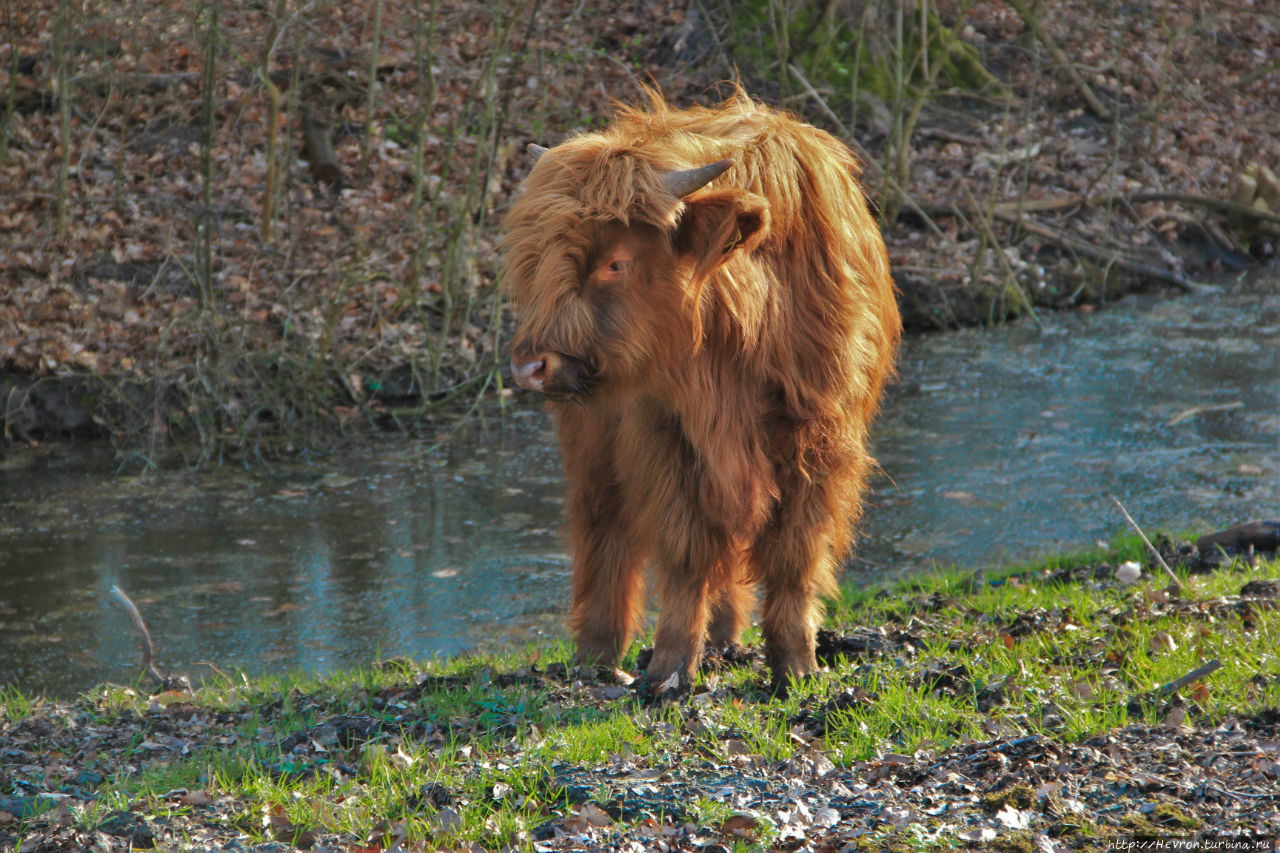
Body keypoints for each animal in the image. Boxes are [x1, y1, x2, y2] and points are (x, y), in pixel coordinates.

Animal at [501, 86, 901, 686]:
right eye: (540, 261)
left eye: (617, 262)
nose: (530, 365)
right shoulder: (665, 435)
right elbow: (686, 551)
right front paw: (667, 671)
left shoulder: (817, 438)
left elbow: (794, 554)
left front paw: (796, 664)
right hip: (593, 437)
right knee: (604, 526)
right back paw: (598, 655)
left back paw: (726, 641)